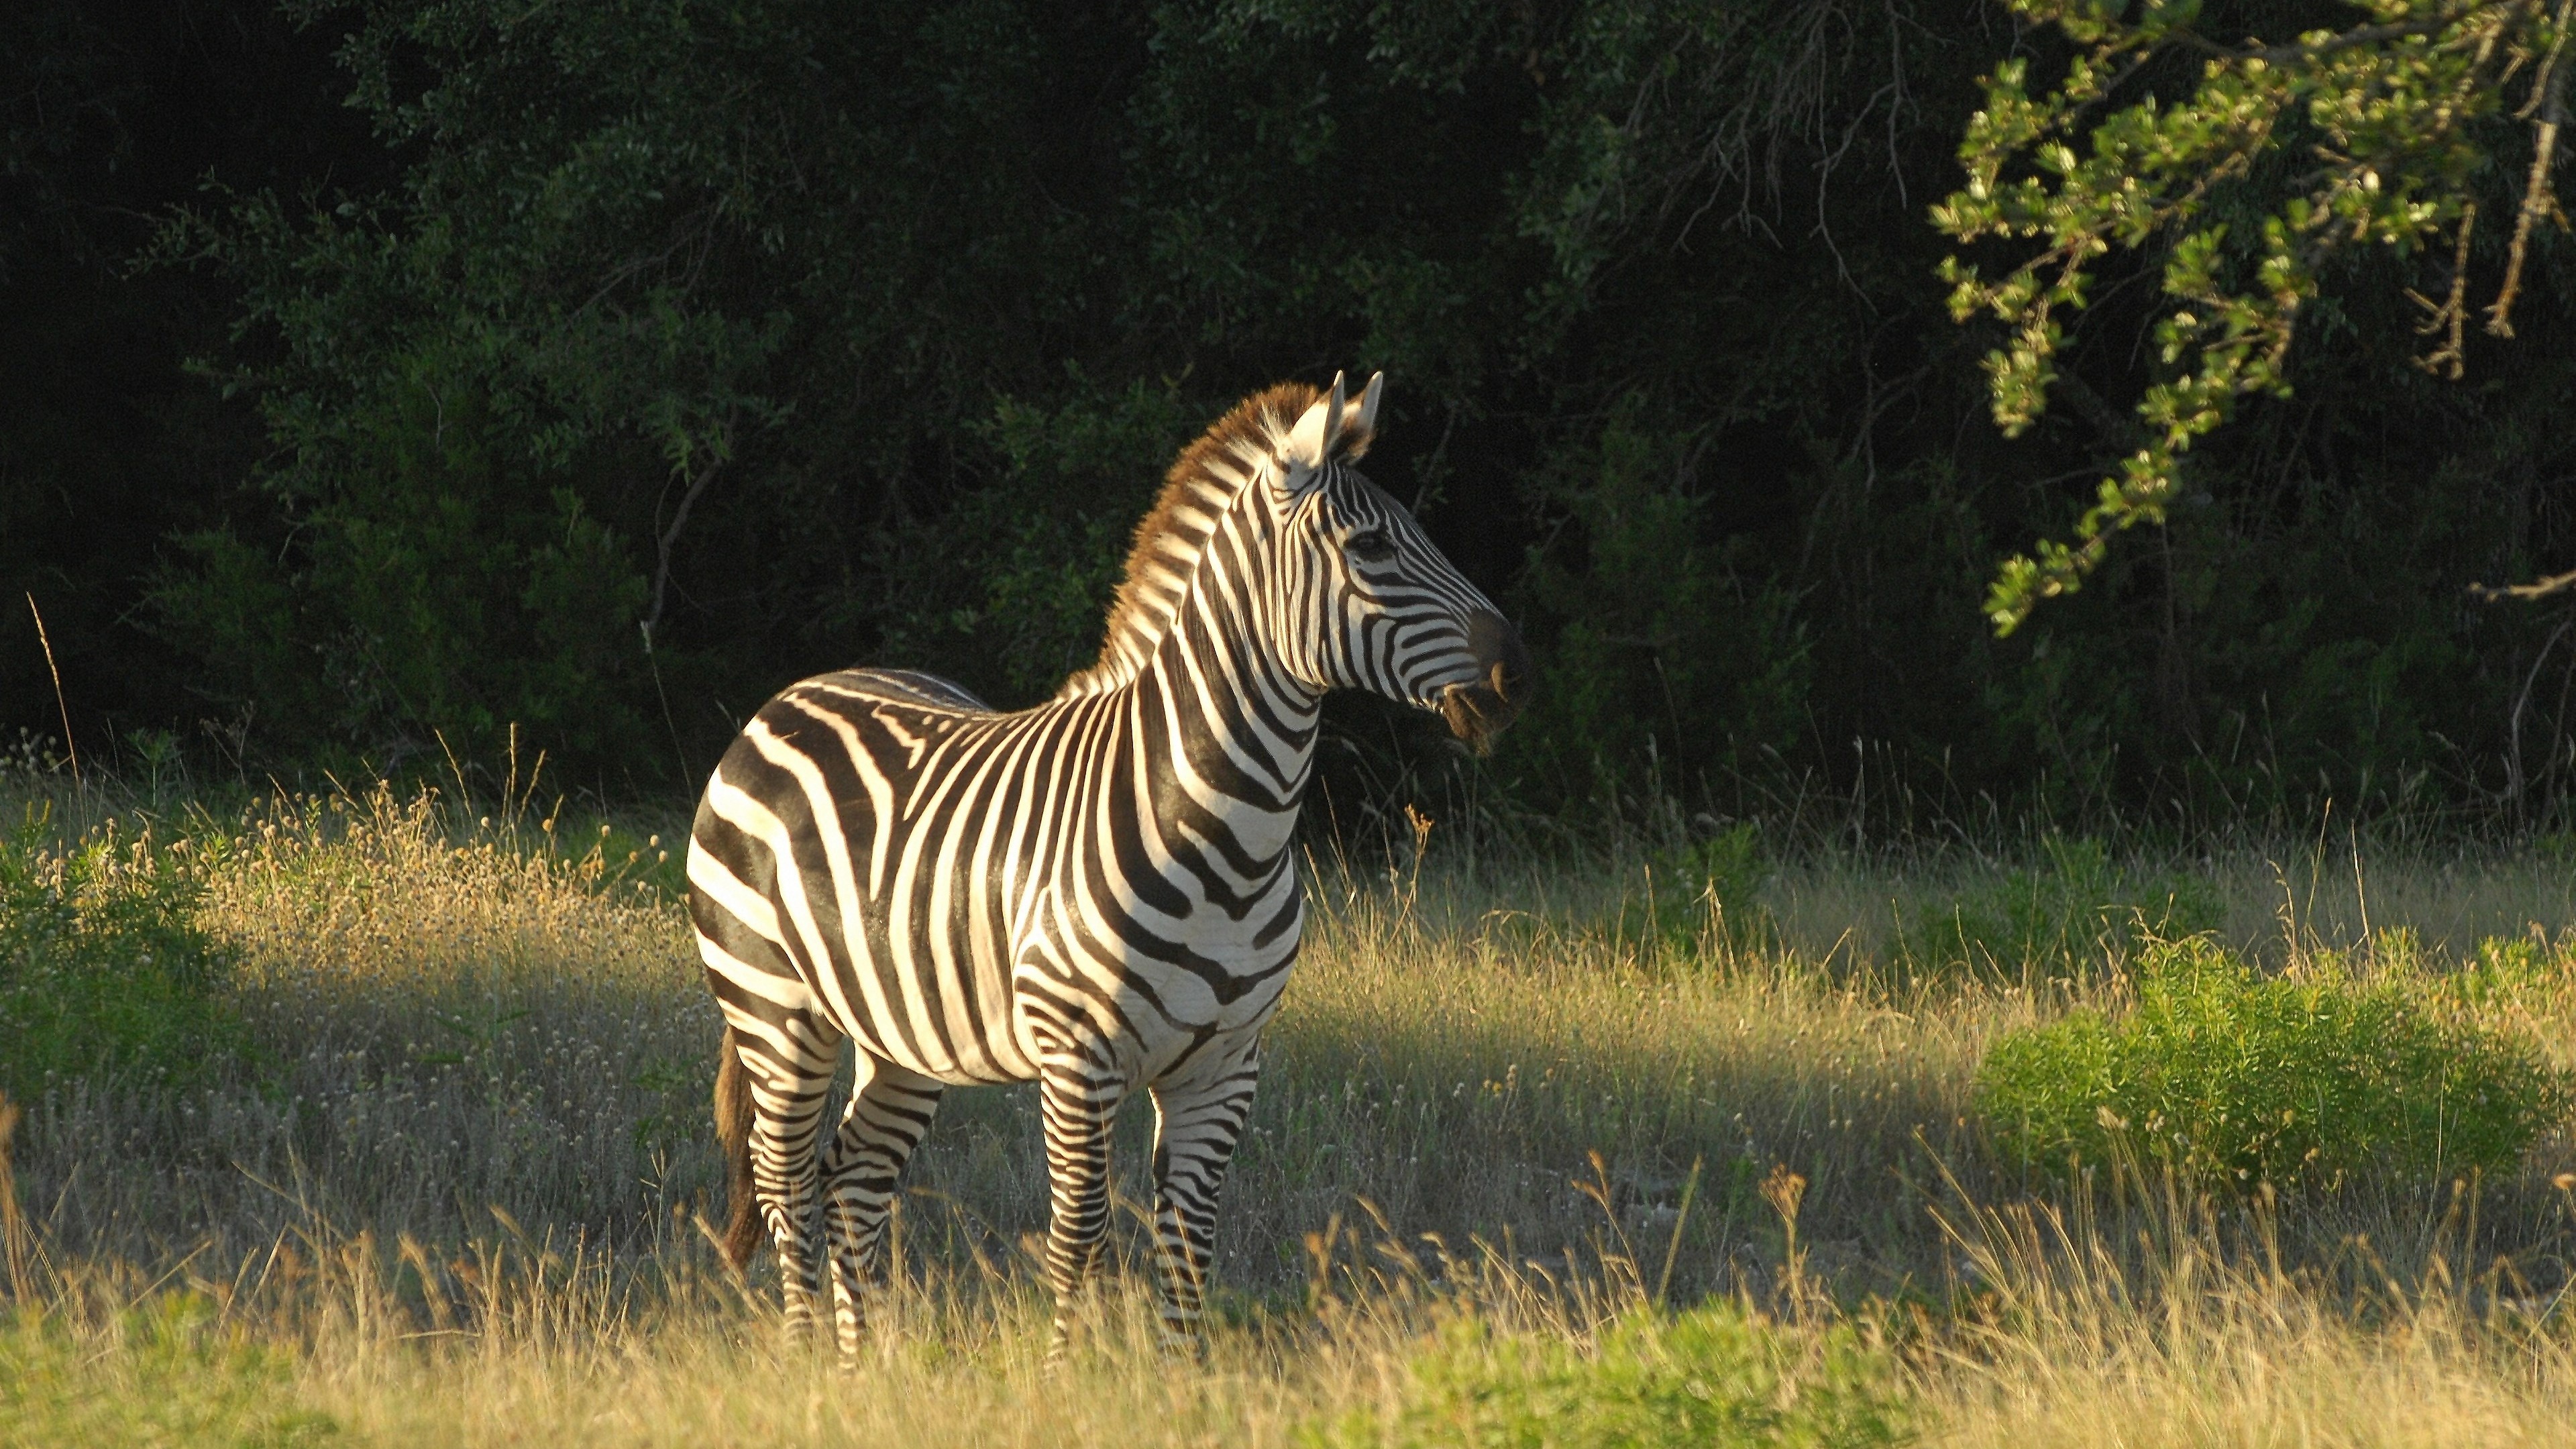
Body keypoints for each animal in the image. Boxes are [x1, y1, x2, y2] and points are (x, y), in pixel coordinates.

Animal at [685, 371, 1525, 1350]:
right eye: (1372, 546)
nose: (1518, 675)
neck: (1228, 839)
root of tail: (790, 695)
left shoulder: (1225, 1063)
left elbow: (1190, 1240)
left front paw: (1185, 1373)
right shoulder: (1077, 1056)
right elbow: (1078, 1234)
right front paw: (1061, 1373)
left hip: (898, 1031)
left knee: (853, 1176)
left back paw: (863, 1368)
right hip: (775, 1007)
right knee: (784, 1182)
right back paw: (808, 1358)